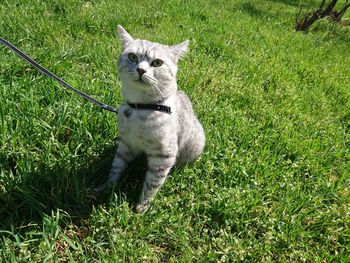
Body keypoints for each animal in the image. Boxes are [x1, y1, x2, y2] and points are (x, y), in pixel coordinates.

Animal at [102, 25, 205, 213]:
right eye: (132, 57)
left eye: (157, 62)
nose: (141, 70)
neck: (141, 107)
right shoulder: (126, 144)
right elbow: (116, 167)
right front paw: (107, 187)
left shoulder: (164, 155)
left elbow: (152, 183)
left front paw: (142, 207)